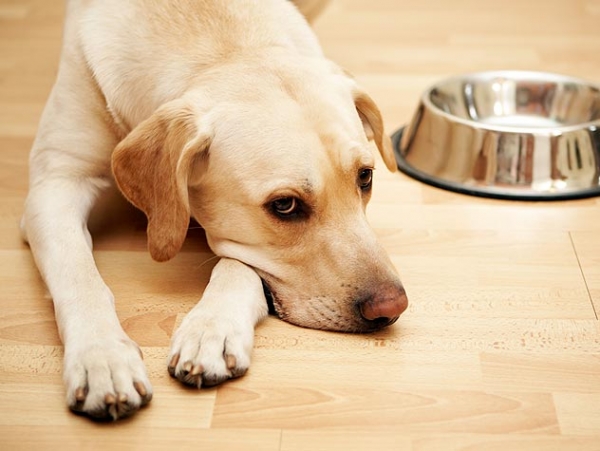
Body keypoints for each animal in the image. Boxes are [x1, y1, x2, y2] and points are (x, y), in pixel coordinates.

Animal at [22, 0, 408, 422]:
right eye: (285, 205)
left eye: (365, 177)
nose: (392, 307)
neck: (222, 46)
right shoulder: (56, 182)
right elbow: (79, 275)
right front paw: (102, 357)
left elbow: (237, 265)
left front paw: (212, 330)